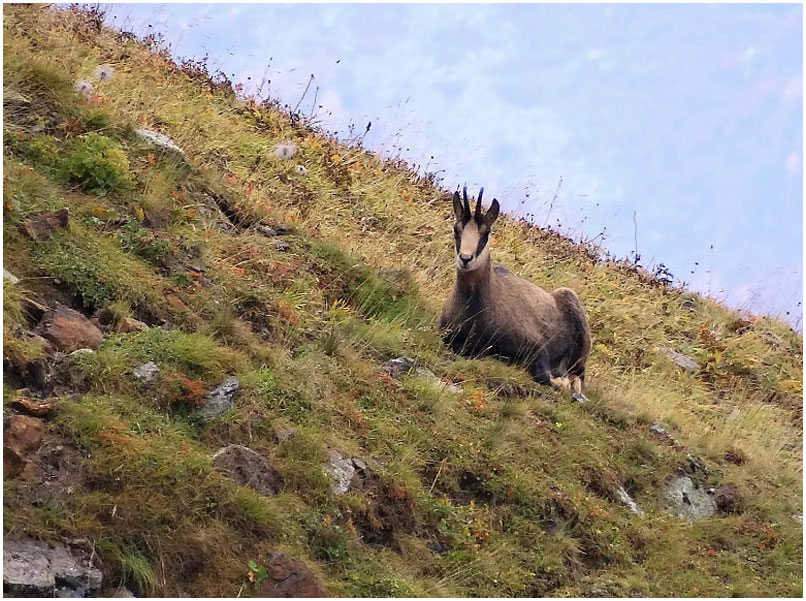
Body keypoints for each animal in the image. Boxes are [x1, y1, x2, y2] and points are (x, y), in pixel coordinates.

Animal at [440, 186, 591, 393]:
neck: (475, 313)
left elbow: (544, 375)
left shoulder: (536, 346)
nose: (465, 258)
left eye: (486, 232)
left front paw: (562, 382)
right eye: (457, 229)